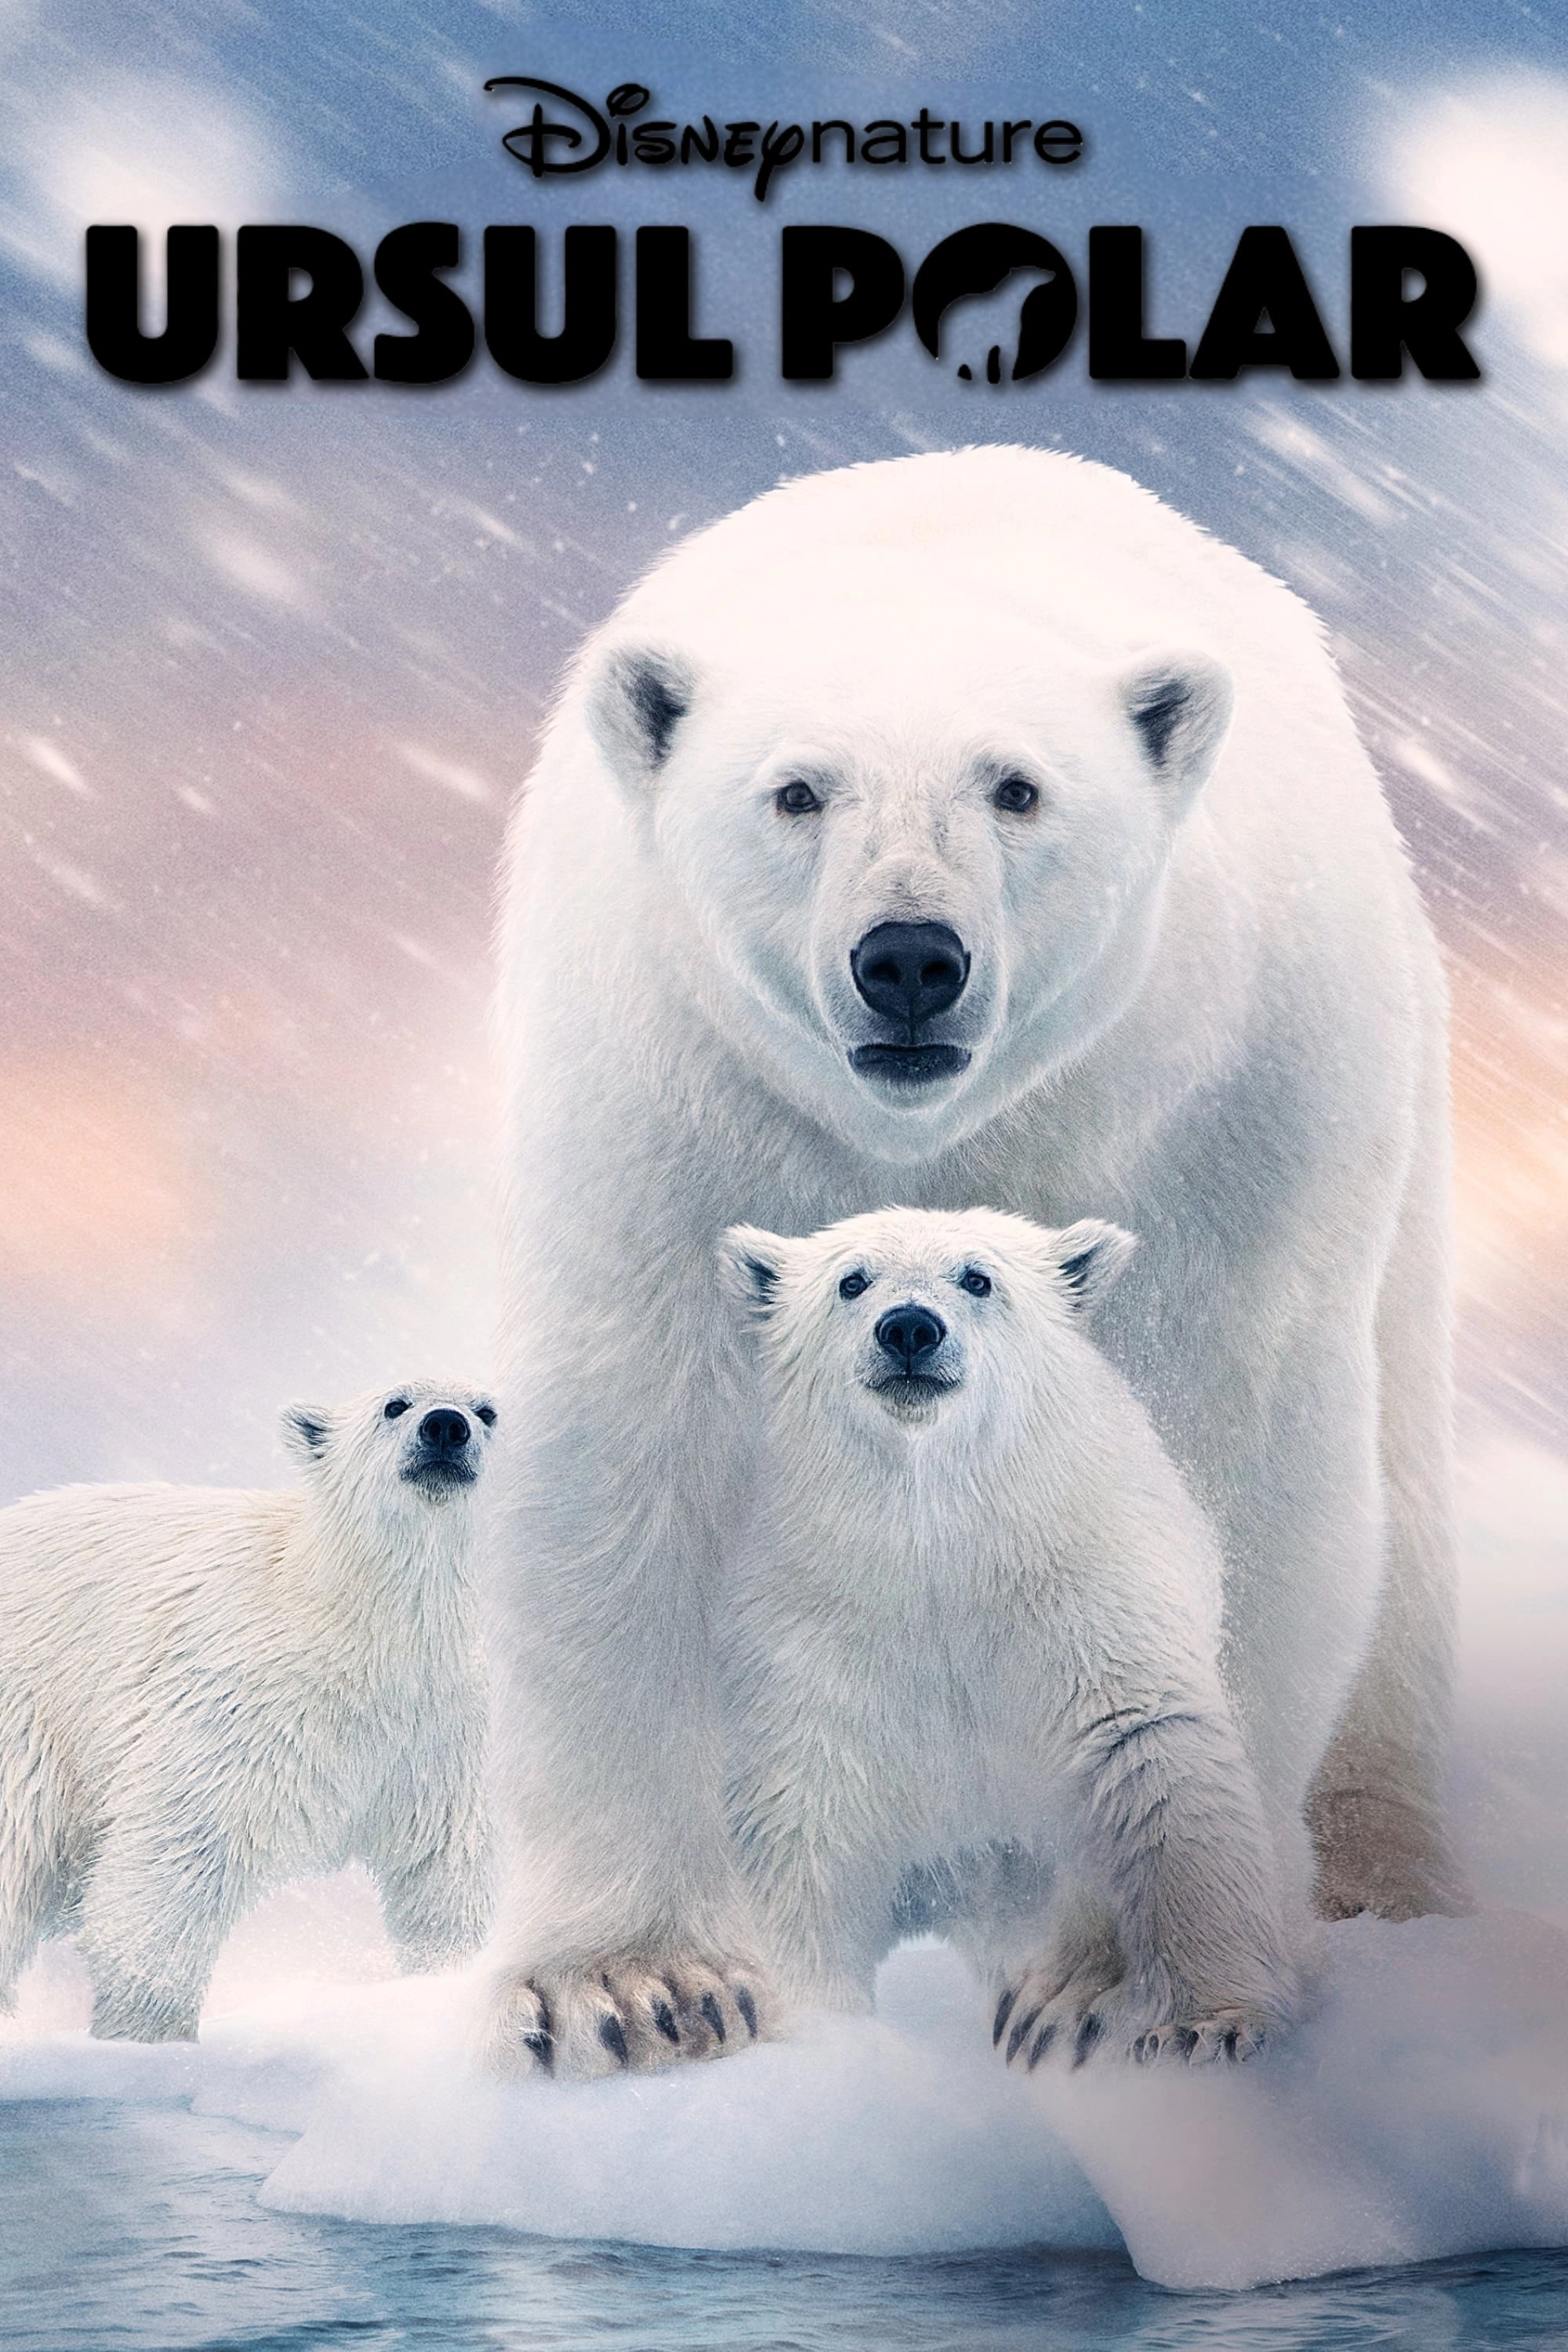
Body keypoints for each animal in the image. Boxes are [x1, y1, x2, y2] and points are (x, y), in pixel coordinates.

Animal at [0, 1378, 497, 2041]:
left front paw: (449, 1982)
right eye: (395, 1404)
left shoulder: (435, 1731)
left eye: (488, 1412)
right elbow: (175, 1856)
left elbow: (443, 1868)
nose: (446, 1427)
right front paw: (150, 2033)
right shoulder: (232, 1700)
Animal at [714, 1206, 1299, 2068]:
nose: (910, 1328)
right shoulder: (816, 1628)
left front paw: (1209, 2025)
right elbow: (802, 1817)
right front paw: (813, 2027)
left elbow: (1153, 1764)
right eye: (852, 1281)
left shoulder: (1090, 1598)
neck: (942, 1545)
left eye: (977, 1277)